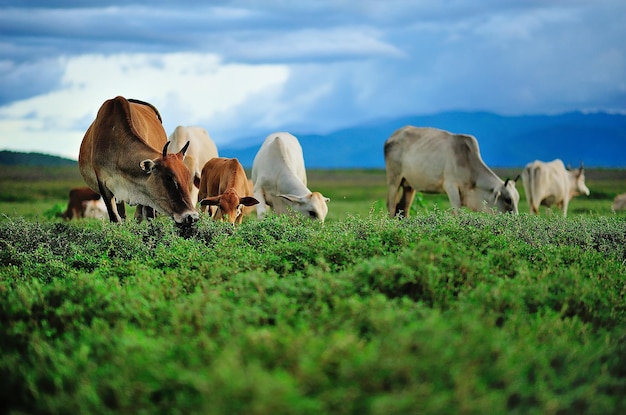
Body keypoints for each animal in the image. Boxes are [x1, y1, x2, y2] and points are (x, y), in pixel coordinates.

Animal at [77, 96, 197, 226]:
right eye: (169, 178)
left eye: (188, 178)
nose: (192, 216)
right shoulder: (104, 185)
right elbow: (115, 218)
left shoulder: (146, 192)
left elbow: (148, 217)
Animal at [382, 127, 520, 218]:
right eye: (508, 200)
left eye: (517, 199)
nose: (516, 219)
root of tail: (391, 137)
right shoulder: (451, 186)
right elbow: (456, 211)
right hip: (394, 180)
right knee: (391, 205)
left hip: (409, 185)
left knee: (403, 208)